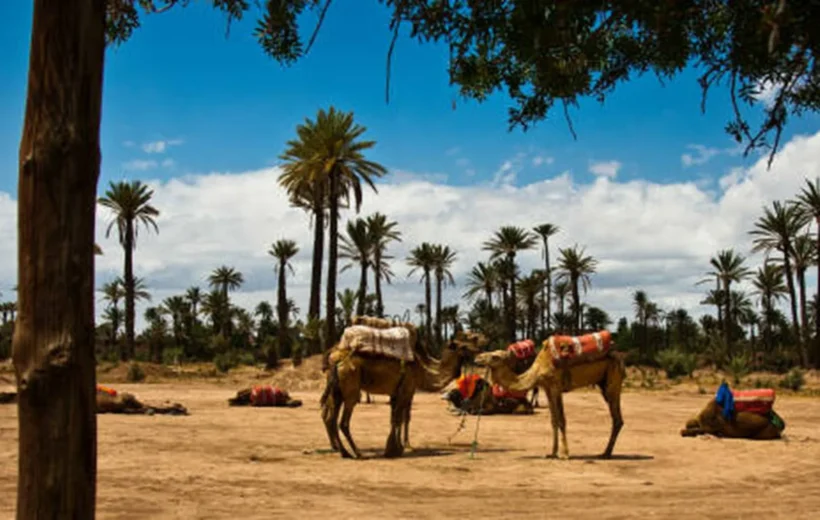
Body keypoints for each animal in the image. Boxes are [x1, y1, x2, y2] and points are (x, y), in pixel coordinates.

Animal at [321, 317, 485, 459]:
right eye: (464, 344)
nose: (480, 349)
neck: (422, 369)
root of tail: (336, 359)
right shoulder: (406, 389)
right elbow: (401, 418)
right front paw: (396, 449)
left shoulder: (396, 392)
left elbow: (394, 418)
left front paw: (395, 447)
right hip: (351, 389)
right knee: (343, 422)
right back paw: (357, 453)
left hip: (337, 391)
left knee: (330, 417)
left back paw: (344, 452)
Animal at [474, 334, 625, 459]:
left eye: (495, 357)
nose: (477, 357)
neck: (537, 371)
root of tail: (618, 354)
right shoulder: (547, 388)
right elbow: (554, 421)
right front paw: (552, 453)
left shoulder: (556, 387)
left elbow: (562, 420)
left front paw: (565, 454)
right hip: (604, 383)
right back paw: (606, 452)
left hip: (613, 377)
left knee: (617, 418)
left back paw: (606, 453)